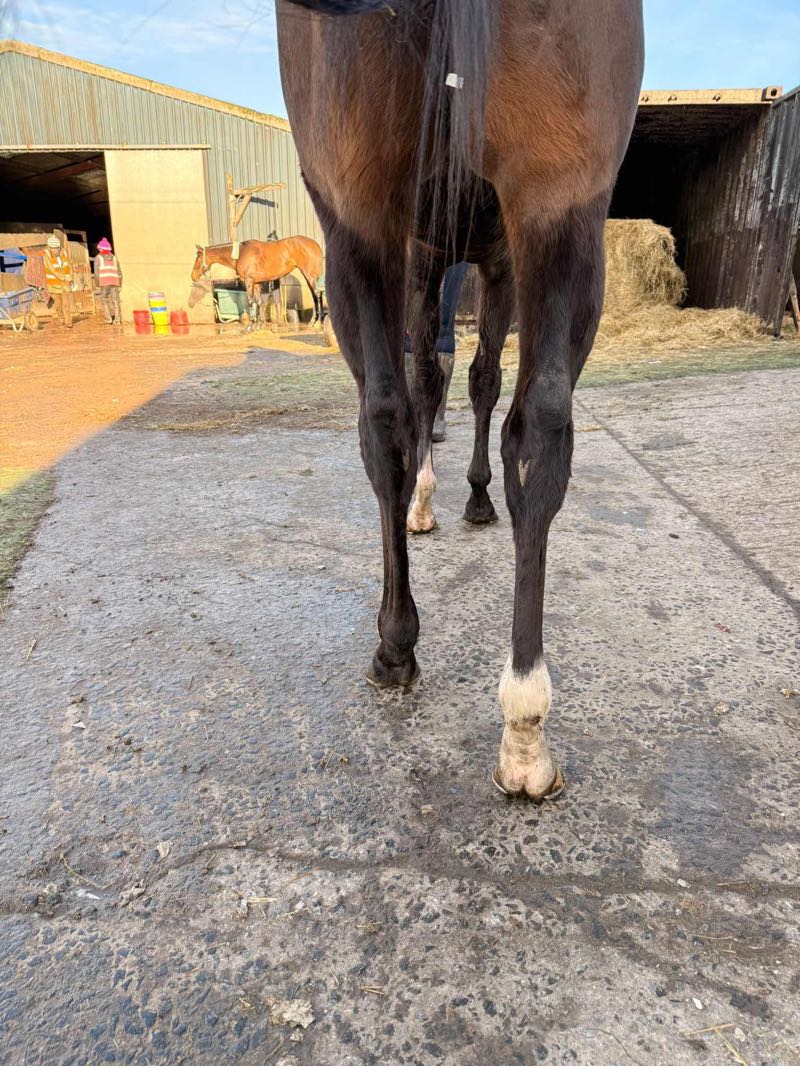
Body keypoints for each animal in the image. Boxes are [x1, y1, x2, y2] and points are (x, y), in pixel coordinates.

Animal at [191, 235, 324, 328]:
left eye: (197, 258)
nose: (193, 276)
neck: (241, 254)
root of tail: (315, 244)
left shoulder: (249, 282)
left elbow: (250, 301)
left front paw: (250, 326)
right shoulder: (256, 283)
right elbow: (260, 302)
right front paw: (260, 324)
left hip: (310, 275)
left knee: (317, 294)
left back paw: (319, 322)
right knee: (314, 295)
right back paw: (312, 321)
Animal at [277, 0, 644, 800]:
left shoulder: (445, 257)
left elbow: (443, 383)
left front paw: (443, 497)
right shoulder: (473, 255)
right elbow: (463, 384)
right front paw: (457, 495)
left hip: (360, 217)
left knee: (392, 417)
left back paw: (408, 650)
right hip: (559, 202)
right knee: (537, 427)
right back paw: (525, 720)